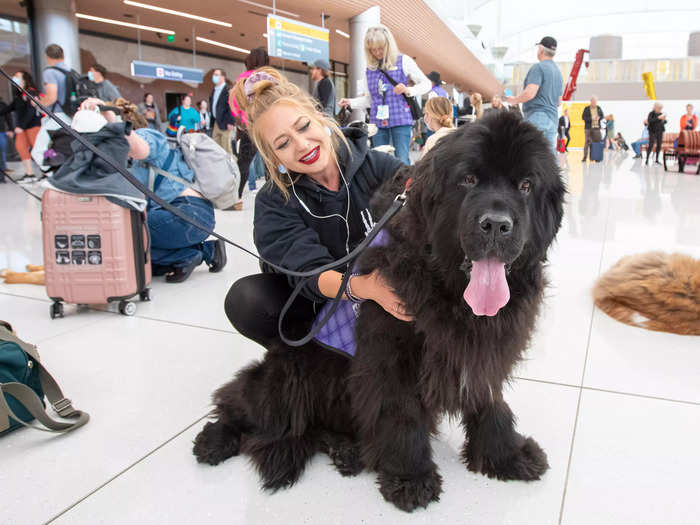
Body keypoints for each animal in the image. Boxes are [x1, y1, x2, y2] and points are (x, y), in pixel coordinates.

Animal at [194, 111, 568, 512]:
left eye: (526, 185)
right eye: (468, 179)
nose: (496, 224)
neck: (448, 286)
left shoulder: (484, 351)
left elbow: (490, 402)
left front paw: (507, 456)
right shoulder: (391, 355)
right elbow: (400, 413)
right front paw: (410, 477)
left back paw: (345, 450)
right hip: (290, 376)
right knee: (240, 401)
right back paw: (214, 440)